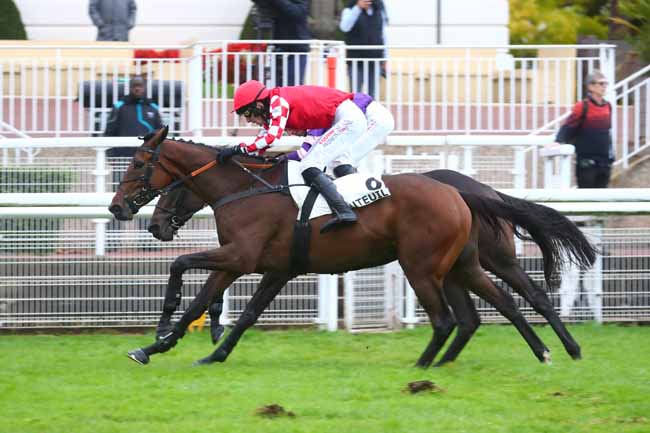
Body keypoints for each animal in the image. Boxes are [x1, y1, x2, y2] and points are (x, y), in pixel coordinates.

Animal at [110, 126, 592, 366]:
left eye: (137, 165)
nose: (119, 209)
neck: (246, 189)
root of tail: (460, 193)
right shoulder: (267, 266)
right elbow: (233, 311)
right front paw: (173, 349)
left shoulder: (241, 256)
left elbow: (180, 265)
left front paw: (163, 328)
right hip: (463, 264)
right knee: (499, 306)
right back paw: (546, 350)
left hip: (425, 266)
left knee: (453, 318)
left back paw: (425, 367)